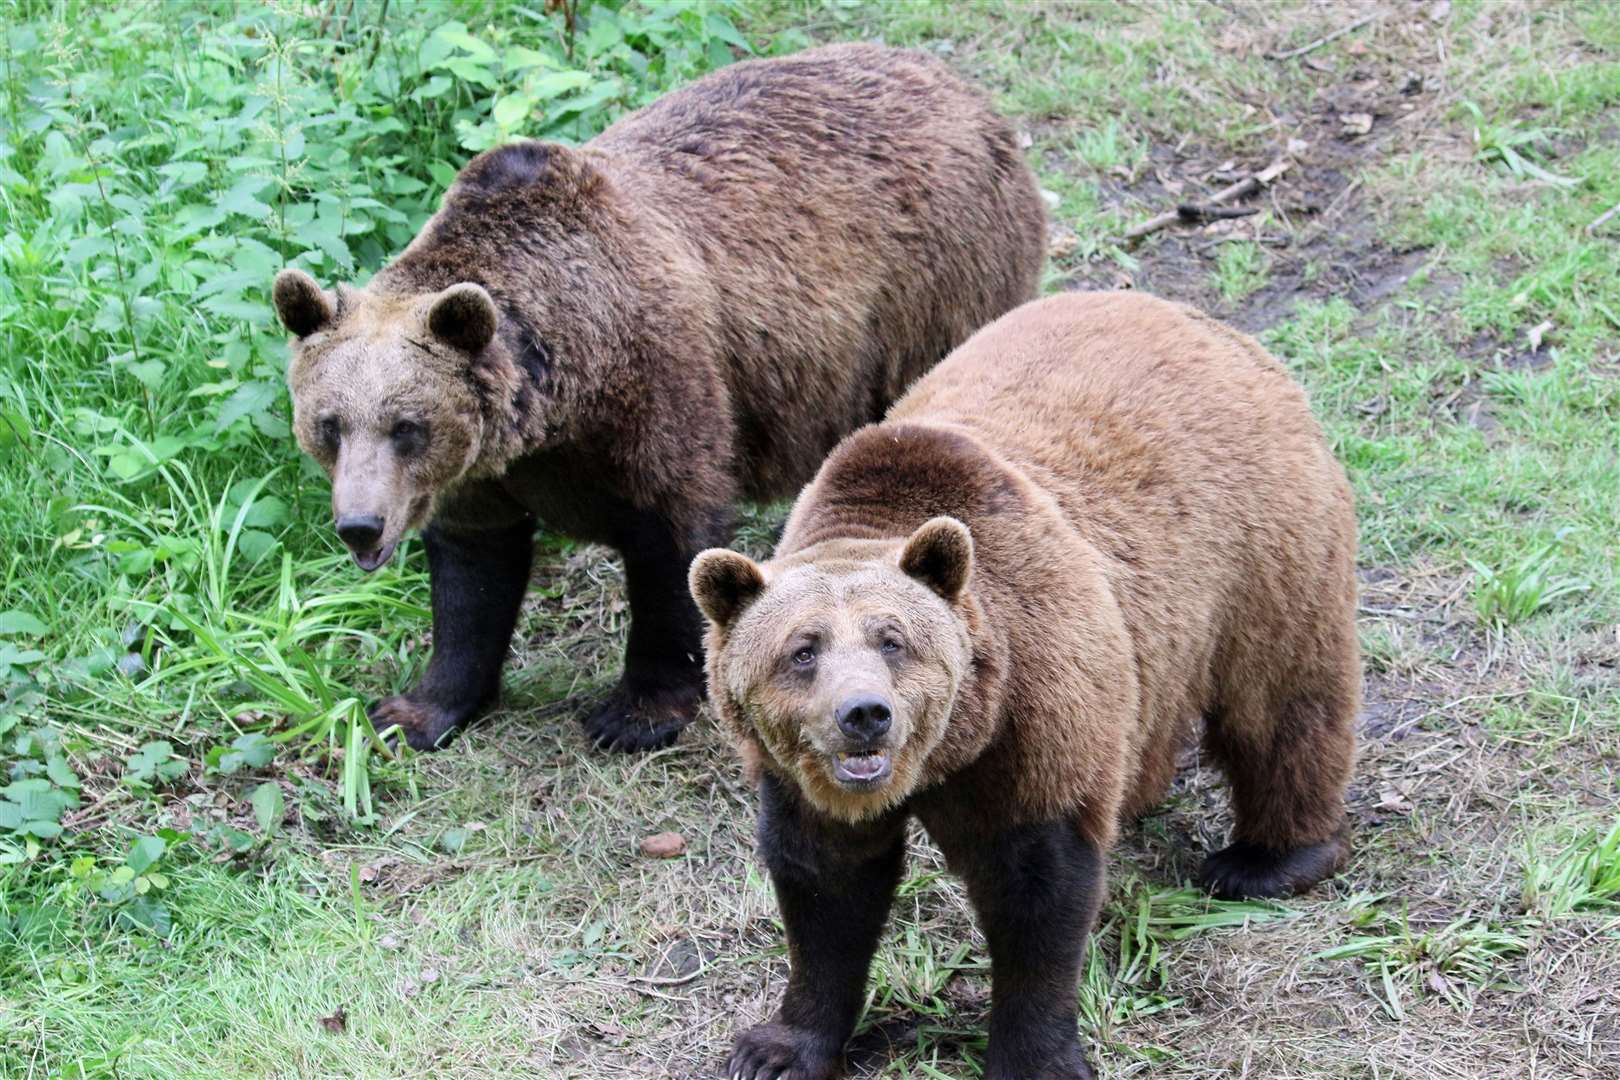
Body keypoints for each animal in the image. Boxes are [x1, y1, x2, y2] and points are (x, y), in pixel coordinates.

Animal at [272, 42, 1043, 751]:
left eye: (407, 425)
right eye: (329, 424)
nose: (360, 525)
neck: (561, 398)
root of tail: (965, 92)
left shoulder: (654, 395)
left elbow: (672, 543)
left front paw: (636, 713)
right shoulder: (482, 472)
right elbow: (472, 578)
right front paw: (413, 710)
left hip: (936, 291)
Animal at [690, 291, 1360, 1080]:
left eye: (894, 641)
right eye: (802, 651)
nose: (864, 714)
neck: (947, 754)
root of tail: (1198, 321)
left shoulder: (1032, 714)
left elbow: (1036, 888)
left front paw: (1033, 1056)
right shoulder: (805, 780)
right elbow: (825, 887)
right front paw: (777, 1048)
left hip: (1260, 550)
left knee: (1281, 700)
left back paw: (1266, 859)